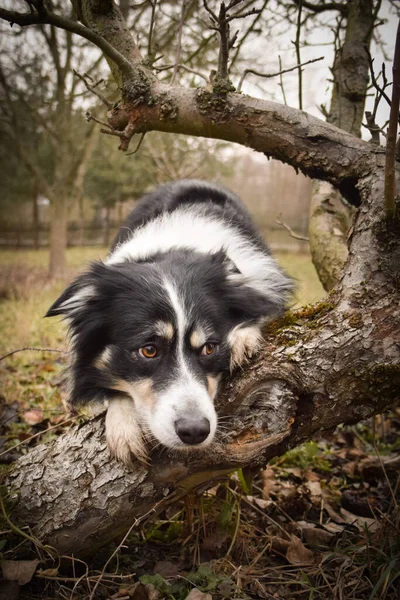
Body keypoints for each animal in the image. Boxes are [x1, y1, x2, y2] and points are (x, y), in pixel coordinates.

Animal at [46, 180, 294, 466]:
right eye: (149, 350)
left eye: (209, 348)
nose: (195, 432)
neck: (173, 249)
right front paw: (124, 426)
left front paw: (242, 338)